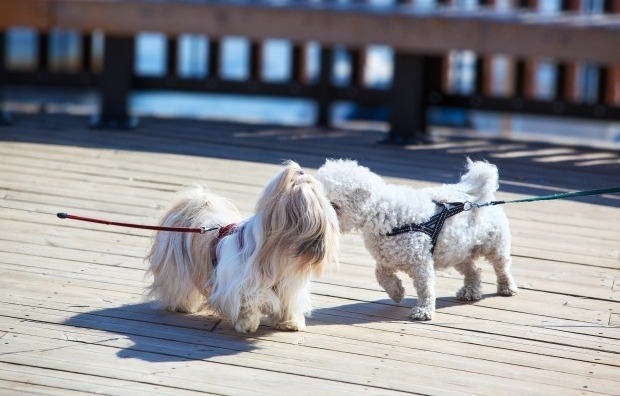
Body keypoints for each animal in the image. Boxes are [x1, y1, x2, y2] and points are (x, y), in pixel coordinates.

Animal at [145, 159, 340, 332]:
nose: (335, 205)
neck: (278, 251)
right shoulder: (239, 284)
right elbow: (251, 301)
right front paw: (248, 324)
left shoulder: (288, 284)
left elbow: (287, 302)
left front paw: (289, 322)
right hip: (178, 268)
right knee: (178, 285)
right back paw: (183, 306)